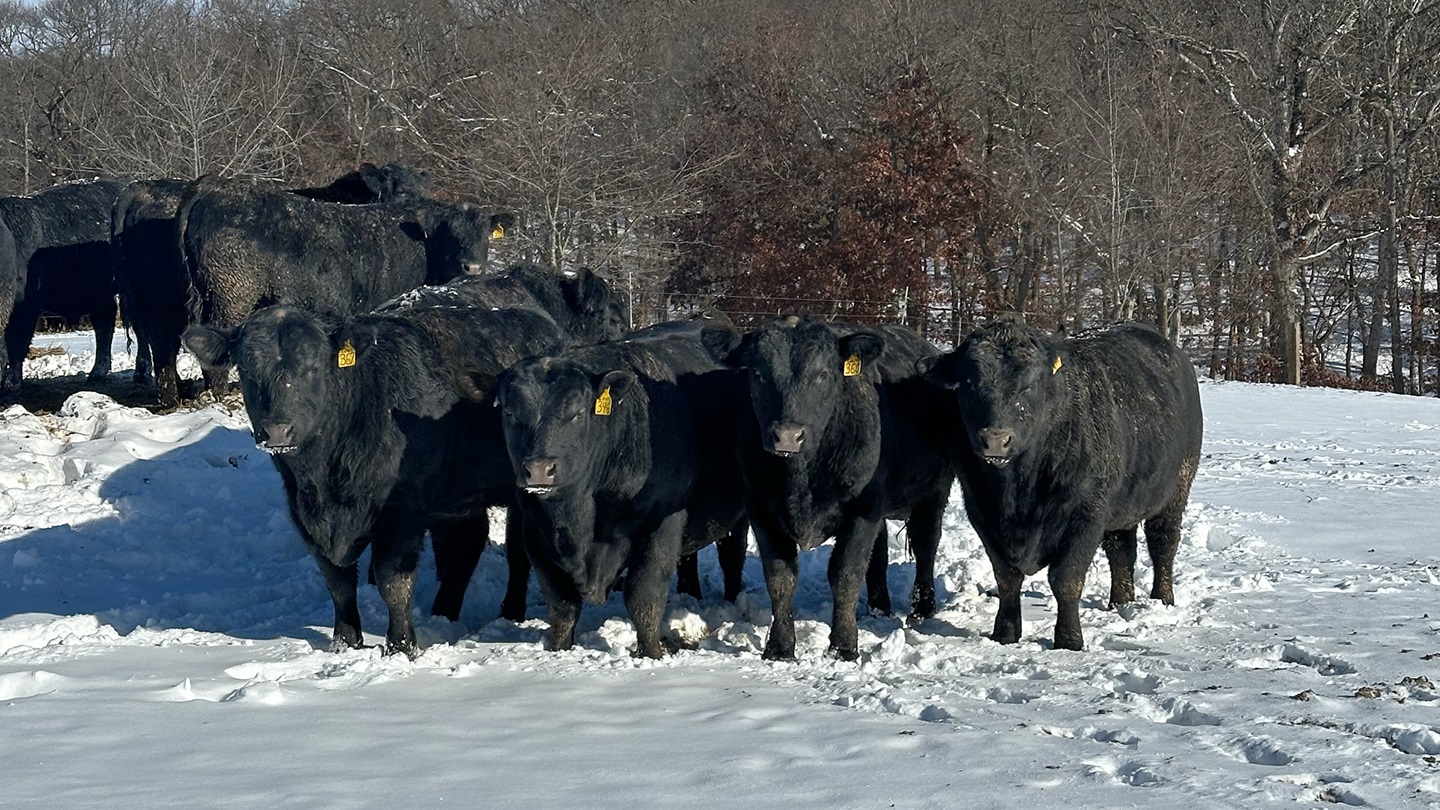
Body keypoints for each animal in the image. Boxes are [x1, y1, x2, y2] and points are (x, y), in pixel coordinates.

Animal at [487, 319, 748, 658]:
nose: (539, 469)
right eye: (510, 413)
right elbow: (561, 604)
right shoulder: (535, 531)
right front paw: (559, 651)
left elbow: (644, 597)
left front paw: (651, 653)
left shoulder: (661, 522)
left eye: (576, 413)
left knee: (733, 555)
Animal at [702, 316, 954, 661]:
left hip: (933, 492)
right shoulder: (761, 507)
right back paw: (879, 609)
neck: (801, 478)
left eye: (822, 374)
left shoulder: (863, 508)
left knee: (927, 543)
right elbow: (780, 577)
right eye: (758, 373)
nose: (787, 435)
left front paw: (844, 646)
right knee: (880, 551)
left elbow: (845, 573)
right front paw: (780, 648)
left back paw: (922, 609)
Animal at [919, 317, 1203, 651]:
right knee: (1122, 549)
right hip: (1122, 503)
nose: (995, 440)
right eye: (968, 383)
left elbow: (1066, 579)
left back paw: (1162, 599)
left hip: (1177, 488)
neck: (1018, 490)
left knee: (1163, 542)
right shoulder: (981, 512)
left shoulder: (1085, 515)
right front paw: (1005, 633)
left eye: (1029, 385)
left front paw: (1069, 640)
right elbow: (1006, 578)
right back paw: (1120, 603)